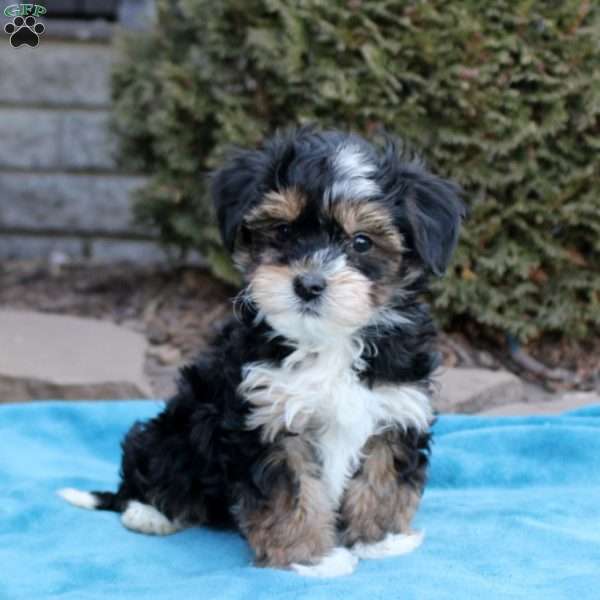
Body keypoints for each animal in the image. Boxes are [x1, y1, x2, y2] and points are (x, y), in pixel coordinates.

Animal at [59, 127, 464, 576]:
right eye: (284, 230)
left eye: (362, 242)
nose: (308, 284)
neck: (329, 340)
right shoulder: (267, 418)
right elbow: (291, 493)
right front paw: (311, 558)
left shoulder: (396, 408)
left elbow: (383, 475)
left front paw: (378, 539)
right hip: (176, 427)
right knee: (150, 466)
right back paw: (149, 513)